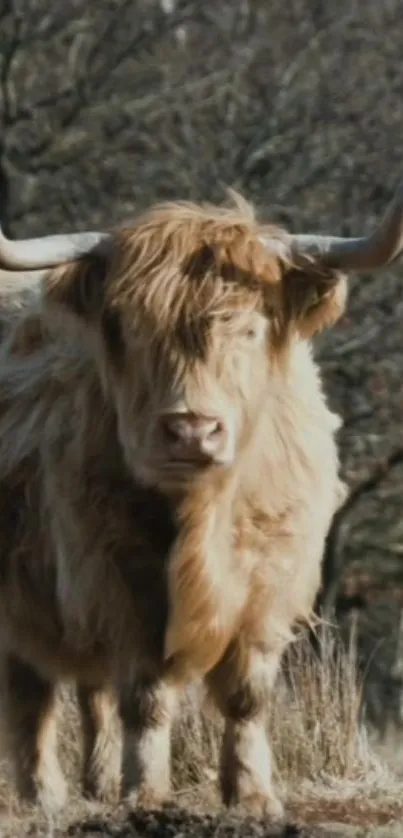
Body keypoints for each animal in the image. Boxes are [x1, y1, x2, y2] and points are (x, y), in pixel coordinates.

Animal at [0, 184, 403, 820]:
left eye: (251, 329)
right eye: (131, 329)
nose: (191, 431)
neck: (202, 515)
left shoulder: (270, 578)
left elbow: (247, 697)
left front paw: (254, 795)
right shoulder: (120, 576)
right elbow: (145, 697)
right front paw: (146, 793)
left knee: (88, 693)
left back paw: (96, 784)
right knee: (33, 690)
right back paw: (46, 796)